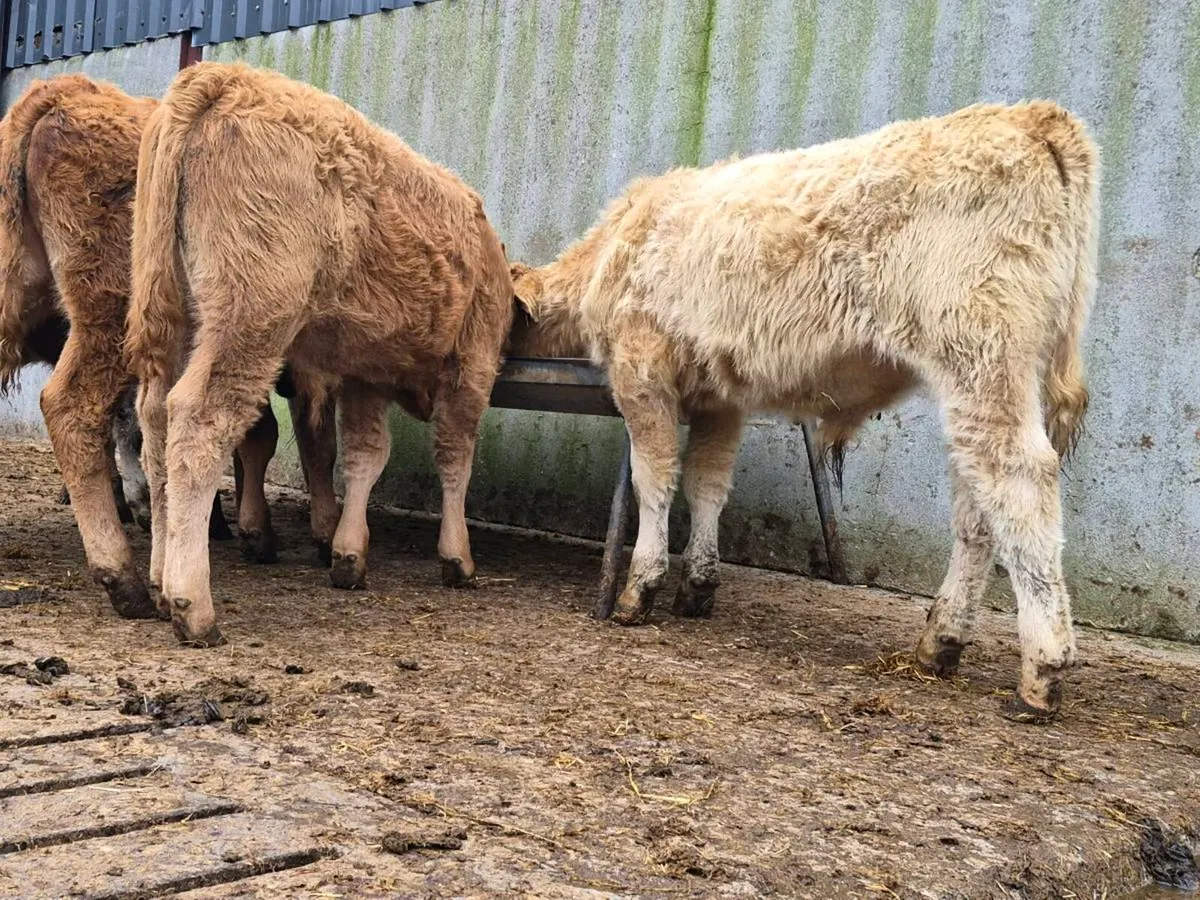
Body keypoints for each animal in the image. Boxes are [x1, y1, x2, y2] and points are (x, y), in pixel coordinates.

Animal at [0, 74, 340, 620]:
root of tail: (62, 93)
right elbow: (307, 442)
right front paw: (312, 534)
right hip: (110, 318)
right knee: (71, 409)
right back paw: (124, 578)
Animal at [126, 62, 513, 647]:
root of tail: (224, 76)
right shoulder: (472, 366)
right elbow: (454, 458)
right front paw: (458, 558)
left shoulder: (364, 375)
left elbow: (362, 453)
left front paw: (348, 553)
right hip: (249, 319)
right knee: (199, 421)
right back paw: (193, 606)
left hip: (172, 318)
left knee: (155, 429)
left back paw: (157, 577)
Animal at [508, 101, 1099, 722]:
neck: (614, 247)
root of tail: (1031, 116)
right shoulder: (722, 398)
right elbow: (707, 484)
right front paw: (698, 584)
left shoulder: (642, 374)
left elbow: (656, 481)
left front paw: (639, 587)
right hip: (981, 378)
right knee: (977, 506)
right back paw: (940, 642)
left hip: (983, 357)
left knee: (1019, 479)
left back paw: (1044, 667)